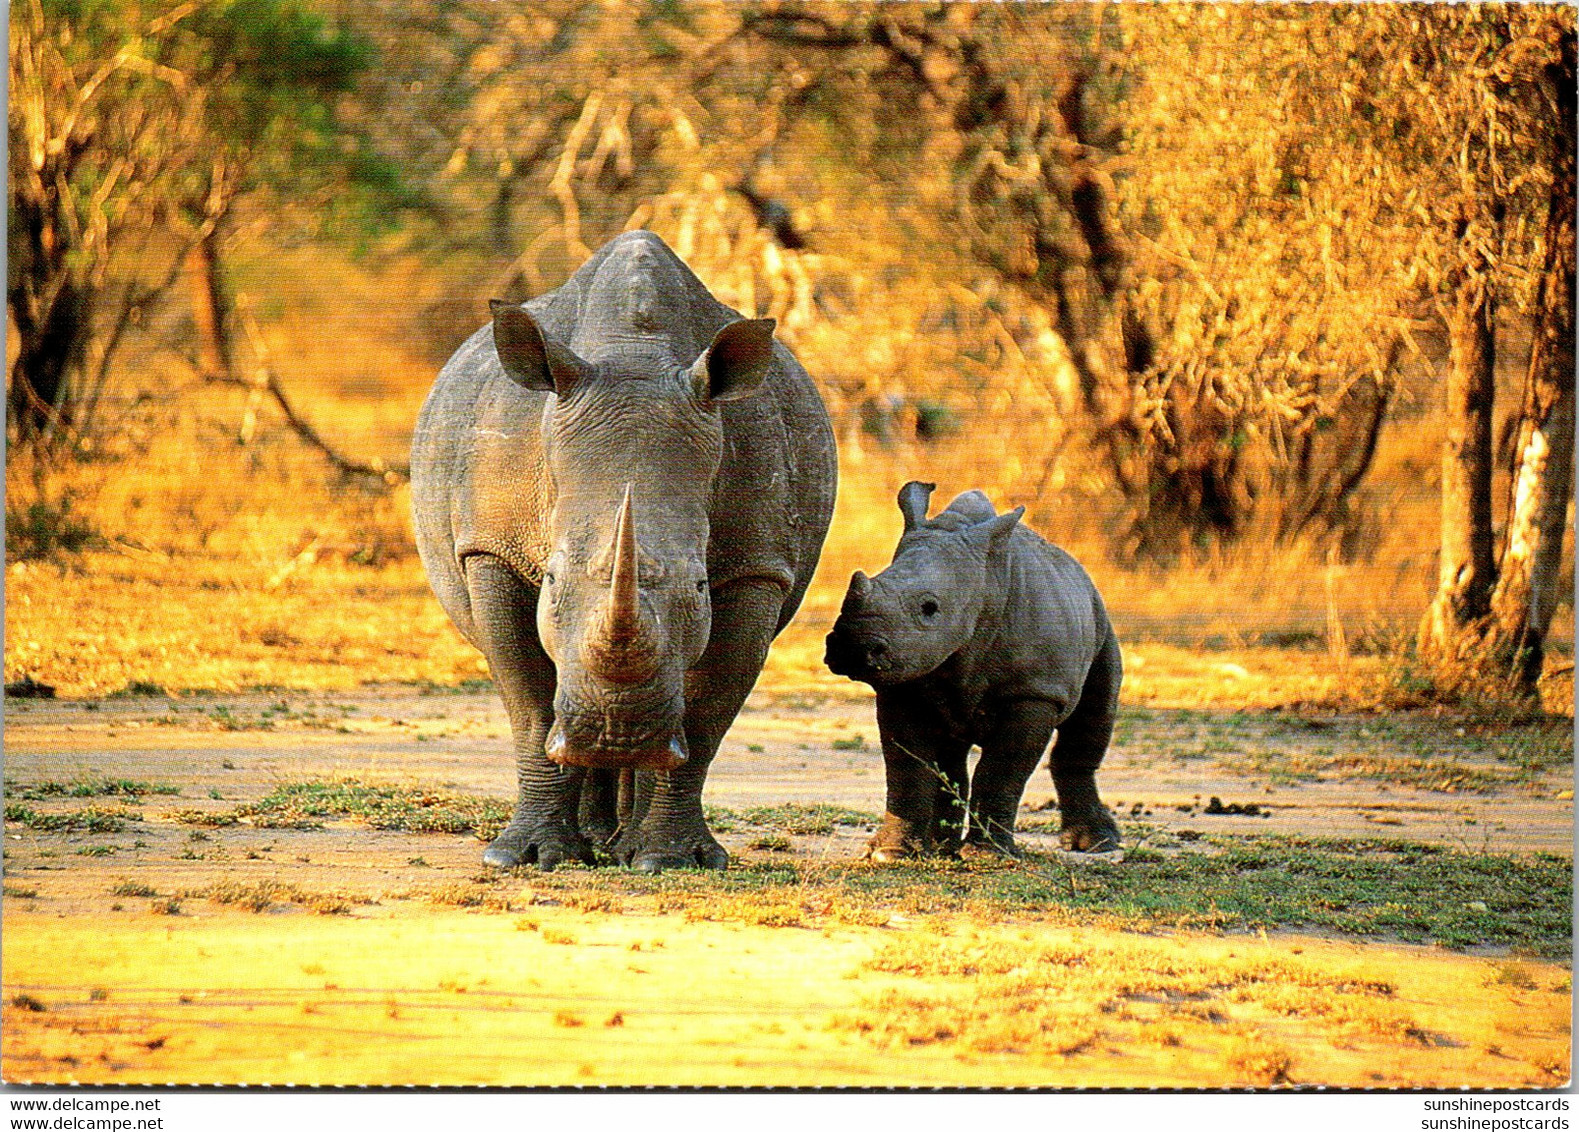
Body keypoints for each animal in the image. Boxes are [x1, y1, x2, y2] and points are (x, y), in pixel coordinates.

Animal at [416, 227, 840, 865]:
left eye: (700, 586)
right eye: (550, 582)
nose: (616, 731)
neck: (635, 355)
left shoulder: (758, 566)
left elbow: (708, 709)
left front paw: (673, 860)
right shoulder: (492, 549)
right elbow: (529, 698)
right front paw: (523, 857)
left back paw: (623, 842)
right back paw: (595, 838)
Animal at [827, 476, 1124, 858]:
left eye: (929, 608)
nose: (851, 647)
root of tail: (1079, 572)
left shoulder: (1035, 692)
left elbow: (1002, 770)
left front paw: (989, 855)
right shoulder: (902, 680)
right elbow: (907, 766)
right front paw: (891, 853)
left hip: (1100, 621)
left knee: (1094, 713)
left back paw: (1097, 843)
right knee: (950, 750)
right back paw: (940, 846)